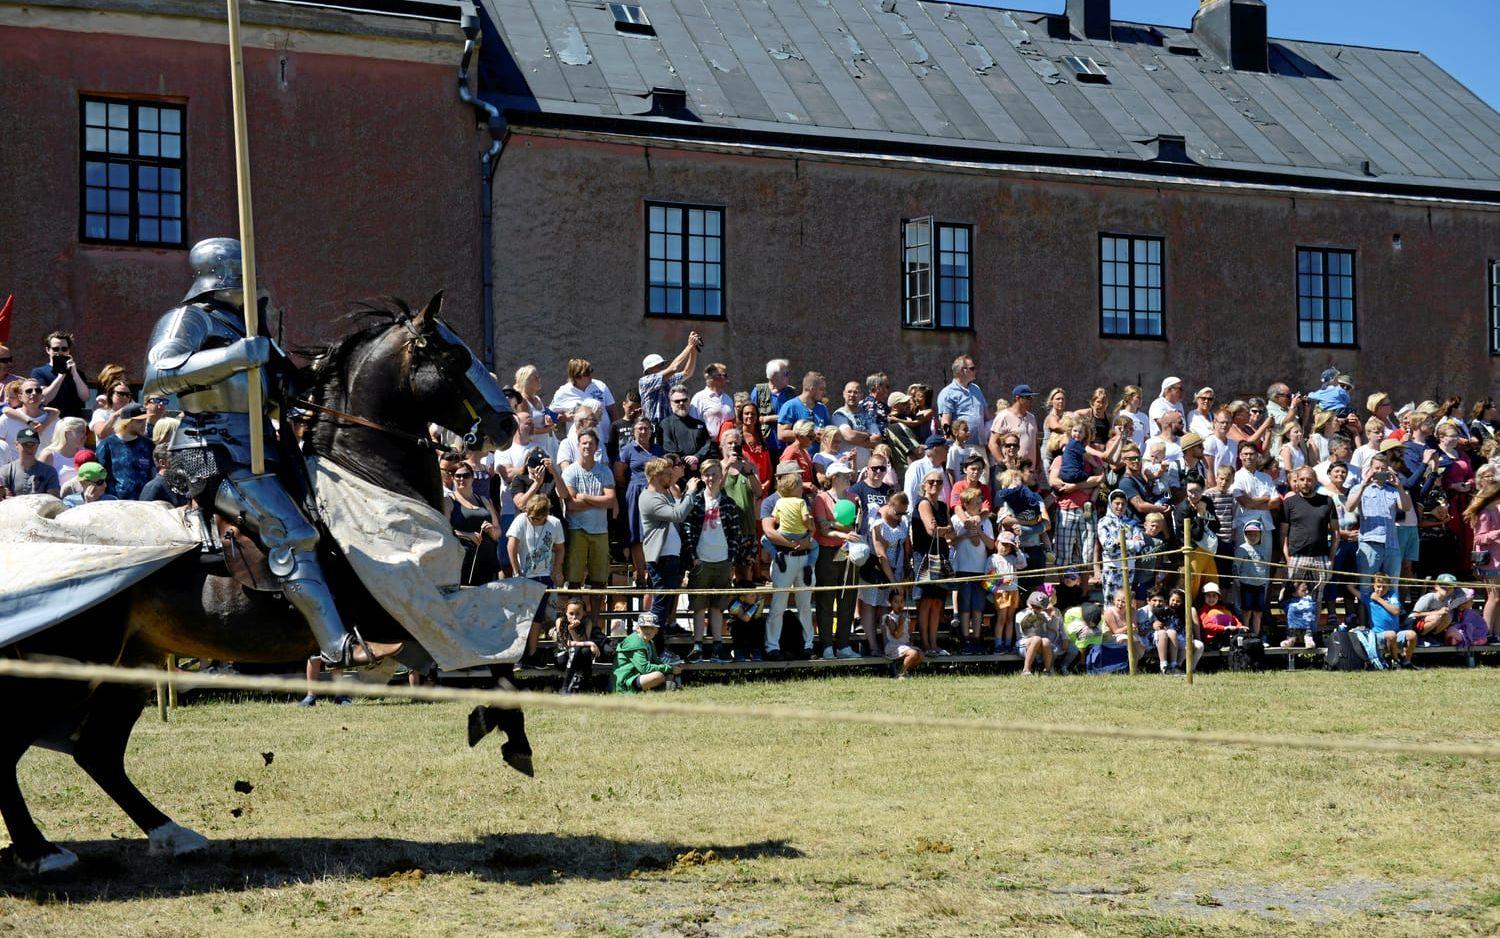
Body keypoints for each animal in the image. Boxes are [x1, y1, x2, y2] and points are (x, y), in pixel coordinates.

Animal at [0, 291, 522, 870]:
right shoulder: (418, 610)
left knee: (97, 750)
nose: (506, 423)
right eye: (454, 358)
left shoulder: (438, 612)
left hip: (127, 666)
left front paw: (506, 733)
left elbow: (501, 659)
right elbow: (498, 652)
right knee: (13, 749)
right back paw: (40, 852)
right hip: (63, 667)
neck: (367, 474)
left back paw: (171, 833)